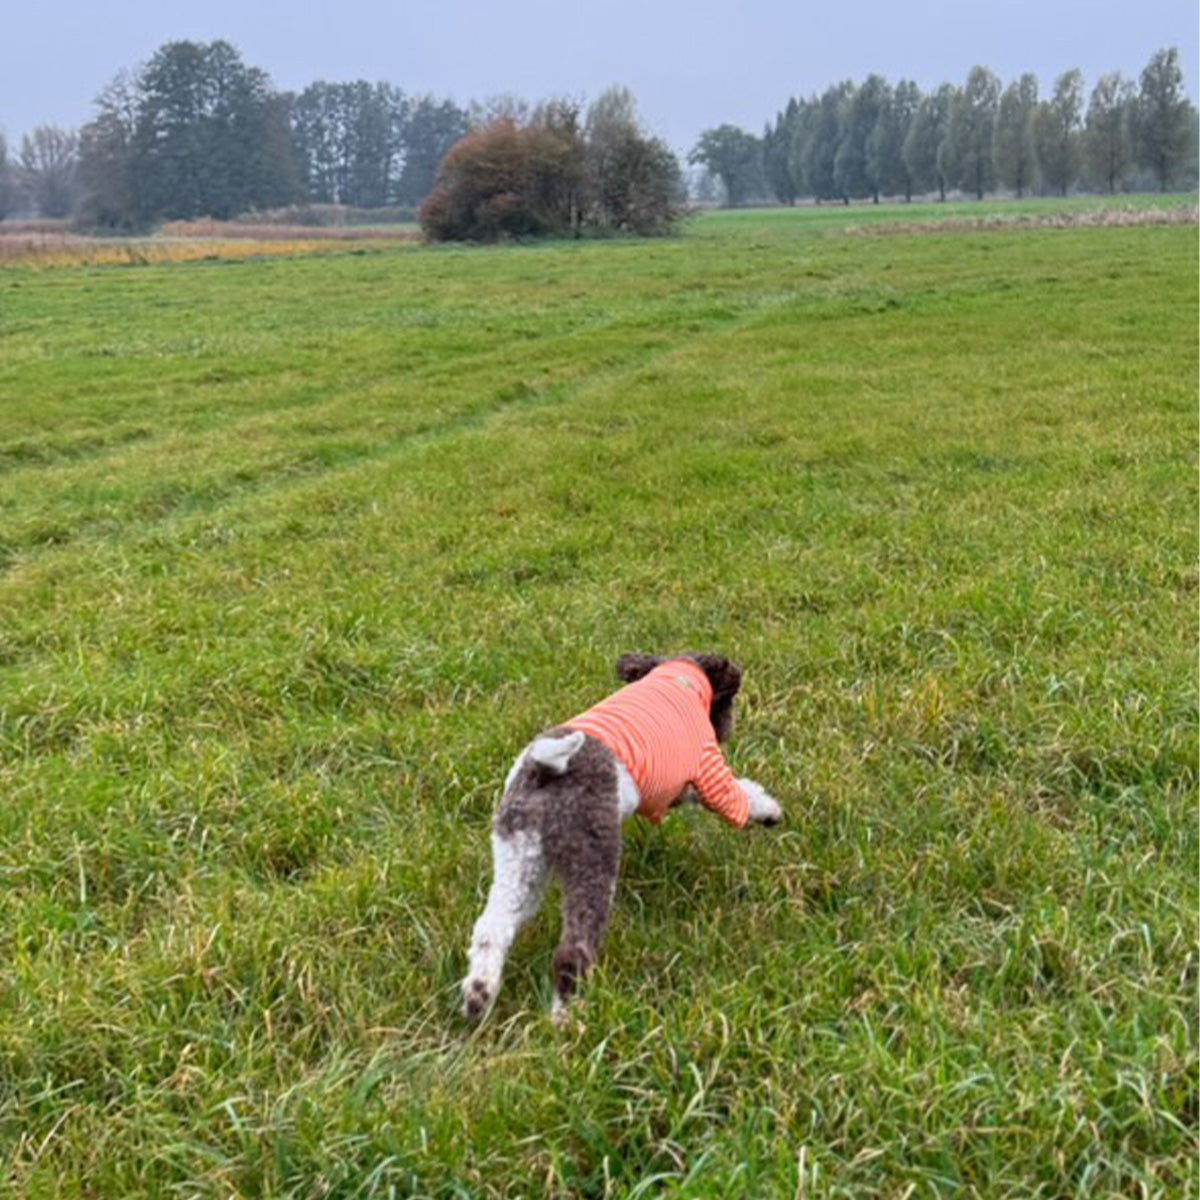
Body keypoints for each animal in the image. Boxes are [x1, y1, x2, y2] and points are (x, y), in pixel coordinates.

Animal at [456, 652, 777, 1027]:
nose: (728, 730)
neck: (680, 677)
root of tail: (545, 769)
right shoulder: (707, 769)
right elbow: (739, 795)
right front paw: (769, 811)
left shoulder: (676, 789)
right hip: (592, 859)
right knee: (572, 951)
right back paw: (567, 1017)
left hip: (519, 859)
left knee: (491, 930)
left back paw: (478, 997)